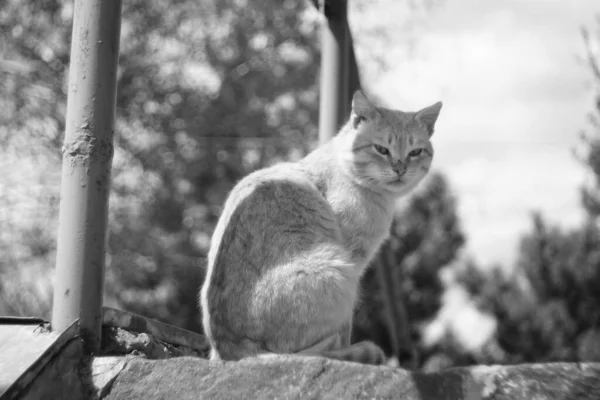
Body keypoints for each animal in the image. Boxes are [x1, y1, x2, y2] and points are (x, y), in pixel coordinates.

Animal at [200, 90, 440, 366]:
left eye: (415, 152)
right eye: (381, 149)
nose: (400, 169)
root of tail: (229, 351)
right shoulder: (354, 265)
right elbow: (345, 329)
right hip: (337, 272)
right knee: (301, 352)